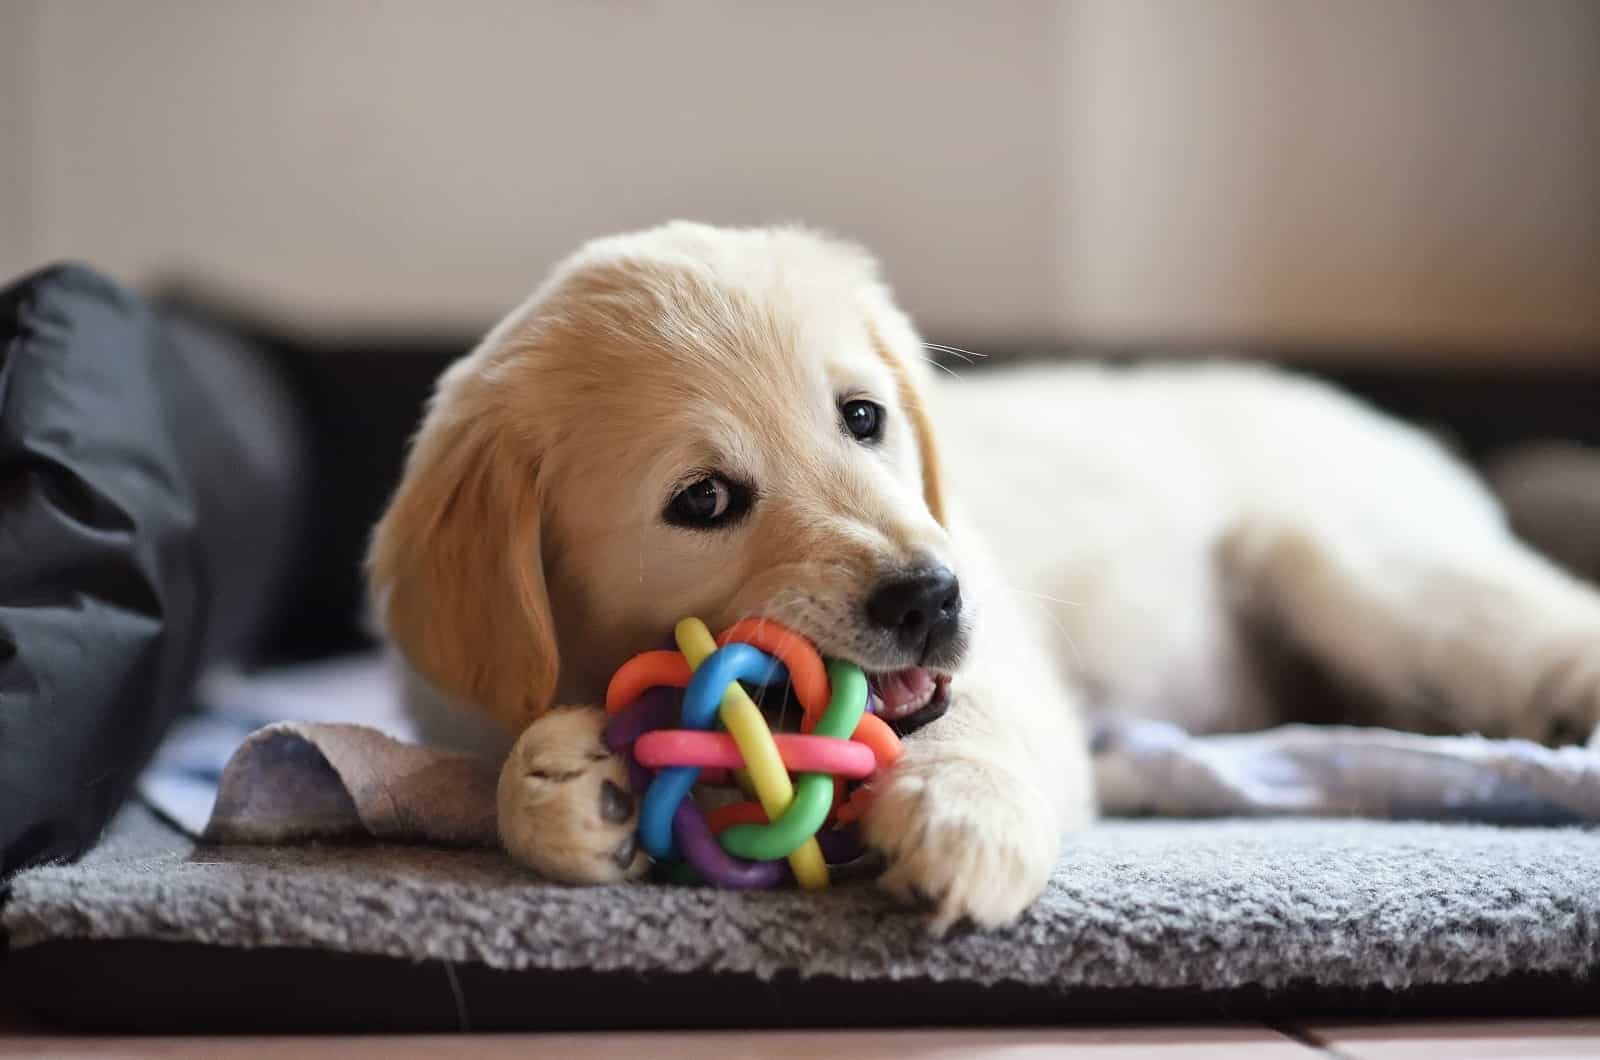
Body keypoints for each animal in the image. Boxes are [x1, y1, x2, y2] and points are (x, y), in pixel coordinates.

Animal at [368, 222, 1600, 928]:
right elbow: (502, 765)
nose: (929, 597)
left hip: (1353, 569)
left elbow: (973, 724)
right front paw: (565, 783)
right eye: (703, 501)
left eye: (863, 417)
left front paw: (963, 819)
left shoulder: (1008, 661)